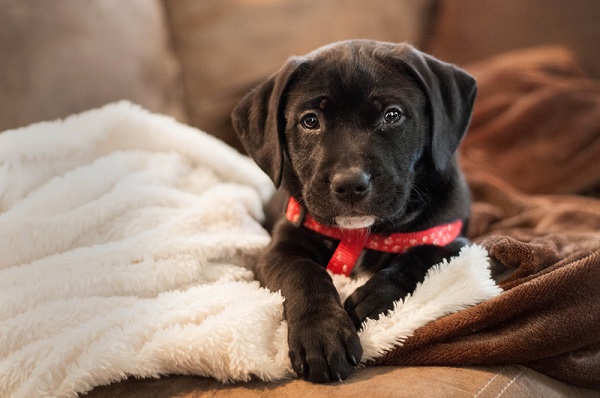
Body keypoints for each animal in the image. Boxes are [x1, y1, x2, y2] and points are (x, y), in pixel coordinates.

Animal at [232, 39, 476, 382]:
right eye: (310, 121)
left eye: (392, 115)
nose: (350, 185)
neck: (359, 235)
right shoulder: (278, 249)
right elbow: (304, 272)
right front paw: (321, 334)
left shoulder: (455, 239)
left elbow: (422, 255)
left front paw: (375, 298)